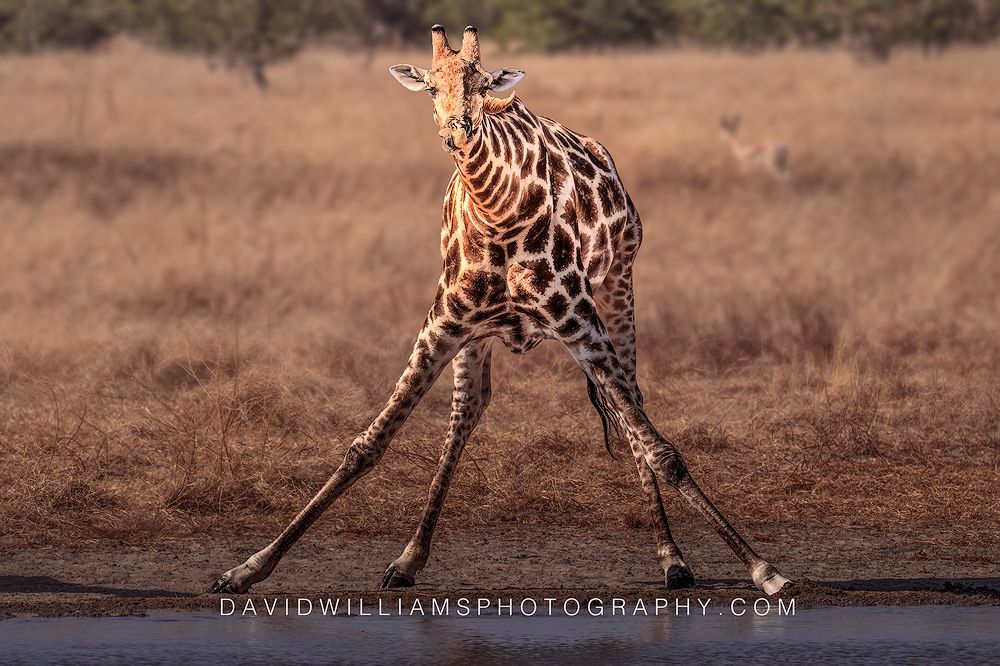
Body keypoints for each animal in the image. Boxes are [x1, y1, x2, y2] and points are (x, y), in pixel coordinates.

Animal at [209, 25, 795, 597]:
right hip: (482, 336)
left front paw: (764, 569)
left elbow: (661, 449)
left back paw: (672, 560)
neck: (498, 212)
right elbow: (367, 444)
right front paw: (246, 568)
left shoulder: (580, 321)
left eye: (482, 81)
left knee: (632, 405)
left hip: (618, 290)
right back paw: (408, 559)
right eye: (430, 87)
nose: (458, 130)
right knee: (467, 412)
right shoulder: (444, 323)